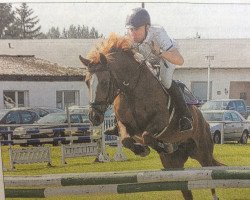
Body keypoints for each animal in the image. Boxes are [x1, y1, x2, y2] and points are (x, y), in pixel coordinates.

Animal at [79, 34, 224, 200]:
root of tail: (204, 121)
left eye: (104, 82)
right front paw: (142, 150)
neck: (132, 89)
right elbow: (126, 139)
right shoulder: (124, 124)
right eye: (86, 82)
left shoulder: (160, 121)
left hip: (203, 152)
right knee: (186, 188)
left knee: (210, 176)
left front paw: (161, 146)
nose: (94, 117)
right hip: (173, 164)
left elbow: (147, 135)